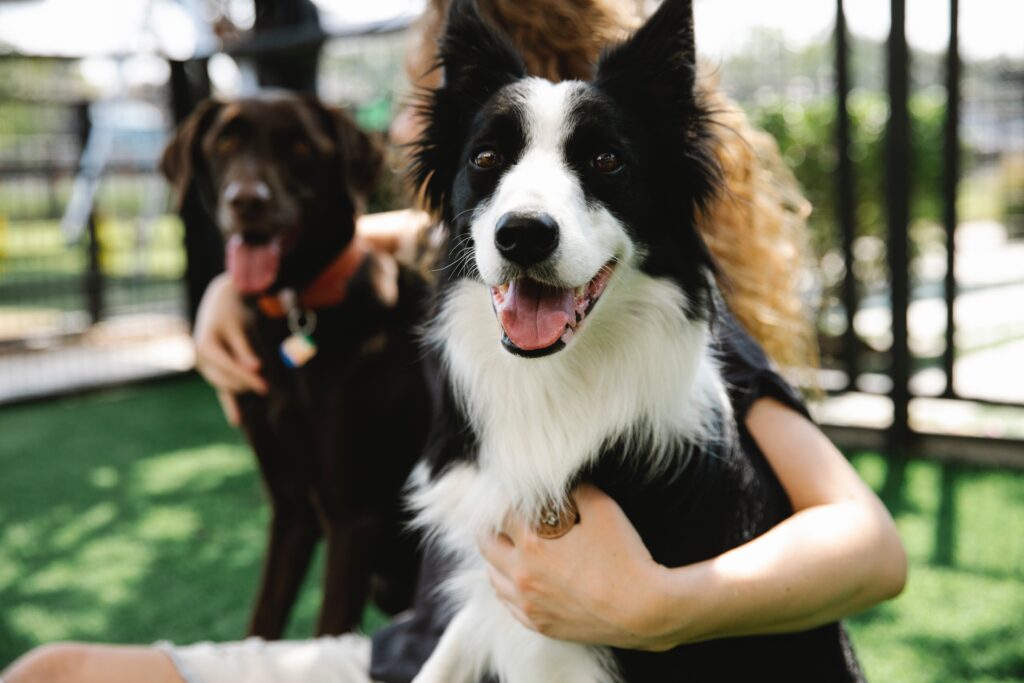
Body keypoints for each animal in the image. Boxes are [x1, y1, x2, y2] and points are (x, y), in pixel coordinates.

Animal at [160, 93, 432, 638]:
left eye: (302, 147)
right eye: (224, 142)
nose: (247, 201)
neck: (295, 308)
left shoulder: (353, 516)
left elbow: (327, 628)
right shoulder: (289, 508)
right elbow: (264, 617)